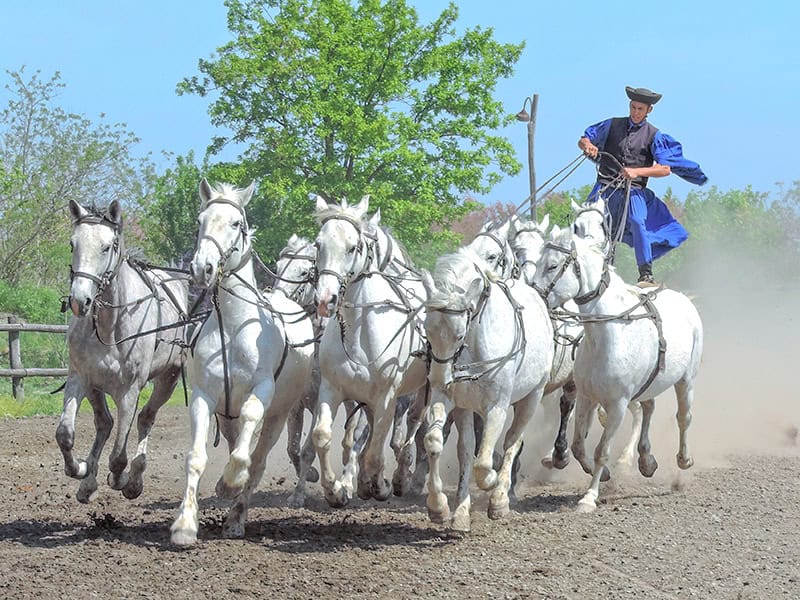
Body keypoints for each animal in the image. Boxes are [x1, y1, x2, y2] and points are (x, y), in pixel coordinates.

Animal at [56, 199, 189, 504]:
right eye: (72, 244)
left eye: (107, 247)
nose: (80, 300)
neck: (109, 328)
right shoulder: (81, 378)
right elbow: (65, 434)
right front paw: (80, 469)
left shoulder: (129, 391)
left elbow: (118, 455)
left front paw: (121, 480)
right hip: (95, 387)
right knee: (104, 423)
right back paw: (88, 481)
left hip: (168, 378)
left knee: (145, 419)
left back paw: (134, 479)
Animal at [170, 178, 314, 544]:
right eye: (200, 220)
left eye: (237, 223)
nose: (202, 268)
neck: (234, 329)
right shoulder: (205, 398)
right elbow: (195, 458)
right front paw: (185, 525)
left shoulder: (260, 393)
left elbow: (246, 454)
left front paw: (229, 483)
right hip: (227, 417)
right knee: (240, 446)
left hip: (280, 414)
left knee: (257, 459)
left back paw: (236, 517)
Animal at [422, 246, 552, 532]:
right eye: (427, 330)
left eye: (459, 334)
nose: (438, 378)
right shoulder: (450, 399)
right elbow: (435, 442)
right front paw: (440, 507)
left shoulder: (497, 406)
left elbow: (484, 463)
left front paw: (492, 483)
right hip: (466, 407)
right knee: (467, 449)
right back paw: (461, 512)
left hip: (532, 397)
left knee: (513, 441)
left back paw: (500, 499)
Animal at [536, 227, 704, 512]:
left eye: (553, 265)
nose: (532, 297)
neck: (607, 336)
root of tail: (684, 300)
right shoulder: (586, 397)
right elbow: (579, 445)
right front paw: (602, 474)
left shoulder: (617, 405)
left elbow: (601, 451)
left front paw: (588, 498)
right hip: (648, 387)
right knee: (648, 410)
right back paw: (646, 461)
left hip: (687, 380)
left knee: (684, 417)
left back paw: (683, 460)